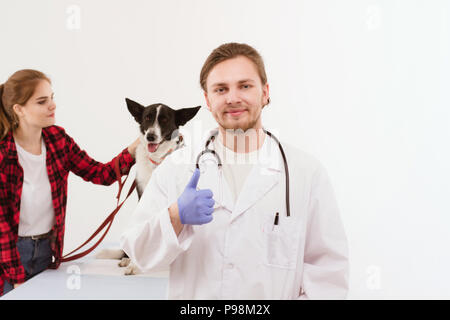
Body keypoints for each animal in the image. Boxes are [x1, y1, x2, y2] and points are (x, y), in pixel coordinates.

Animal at [96, 98, 200, 276]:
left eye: (164, 120)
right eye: (147, 118)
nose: (150, 136)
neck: (157, 161)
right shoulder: (143, 194)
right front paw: (135, 264)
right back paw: (127, 259)